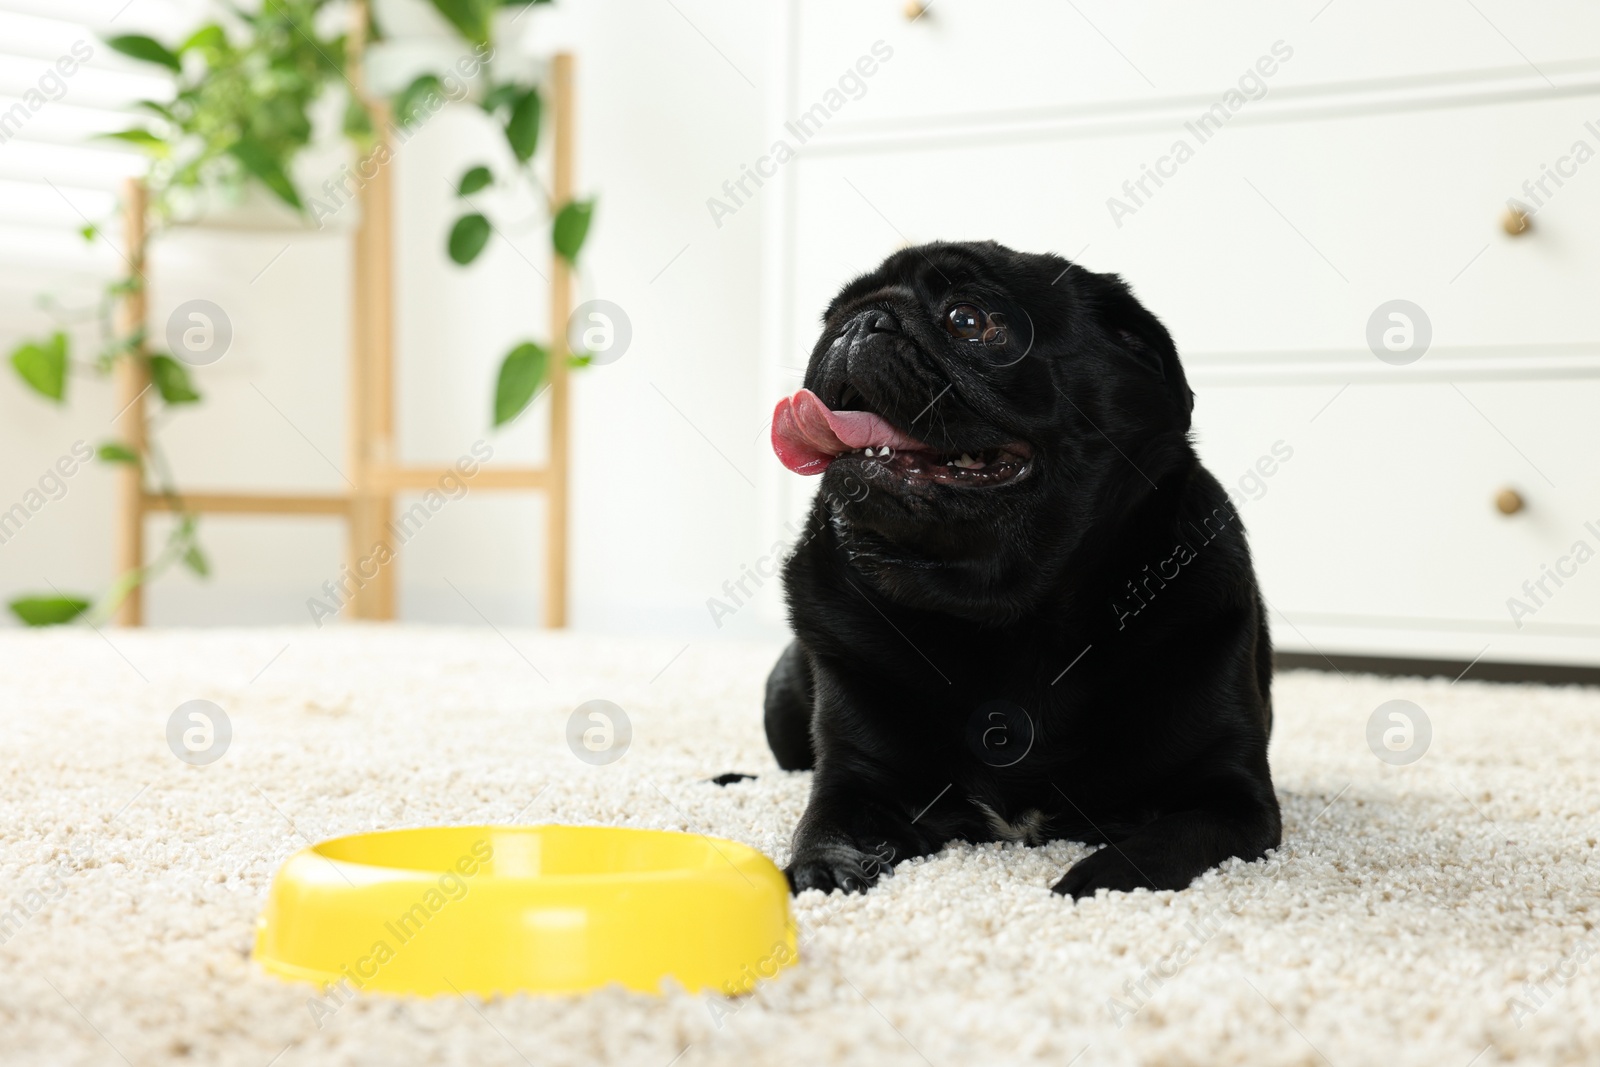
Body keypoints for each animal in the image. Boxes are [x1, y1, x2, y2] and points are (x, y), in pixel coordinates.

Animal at [768, 239, 1280, 902]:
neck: (1000, 608)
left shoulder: (1232, 799)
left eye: (969, 320)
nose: (861, 321)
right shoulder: (858, 779)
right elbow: (825, 820)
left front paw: (1100, 878)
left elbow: (1168, 840)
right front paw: (823, 866)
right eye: (830, 316)